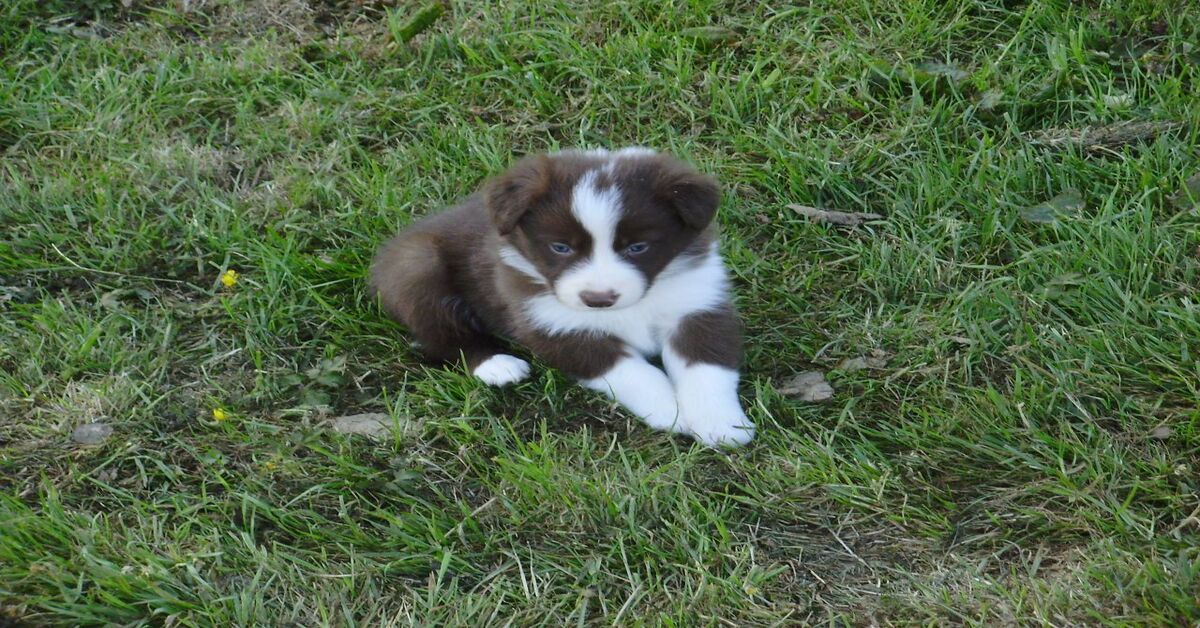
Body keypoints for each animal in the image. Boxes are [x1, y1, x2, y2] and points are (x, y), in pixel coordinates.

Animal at [369, 147, 753, 446]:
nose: (598, 298)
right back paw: (497, 363)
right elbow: (631, 371)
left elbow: (707, 368)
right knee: (437, 335)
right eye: (560, 247)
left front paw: (721, 423)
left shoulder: (697, 306)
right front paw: (669, 410)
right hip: (417, 266)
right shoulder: (556, 326)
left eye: (638, 247)